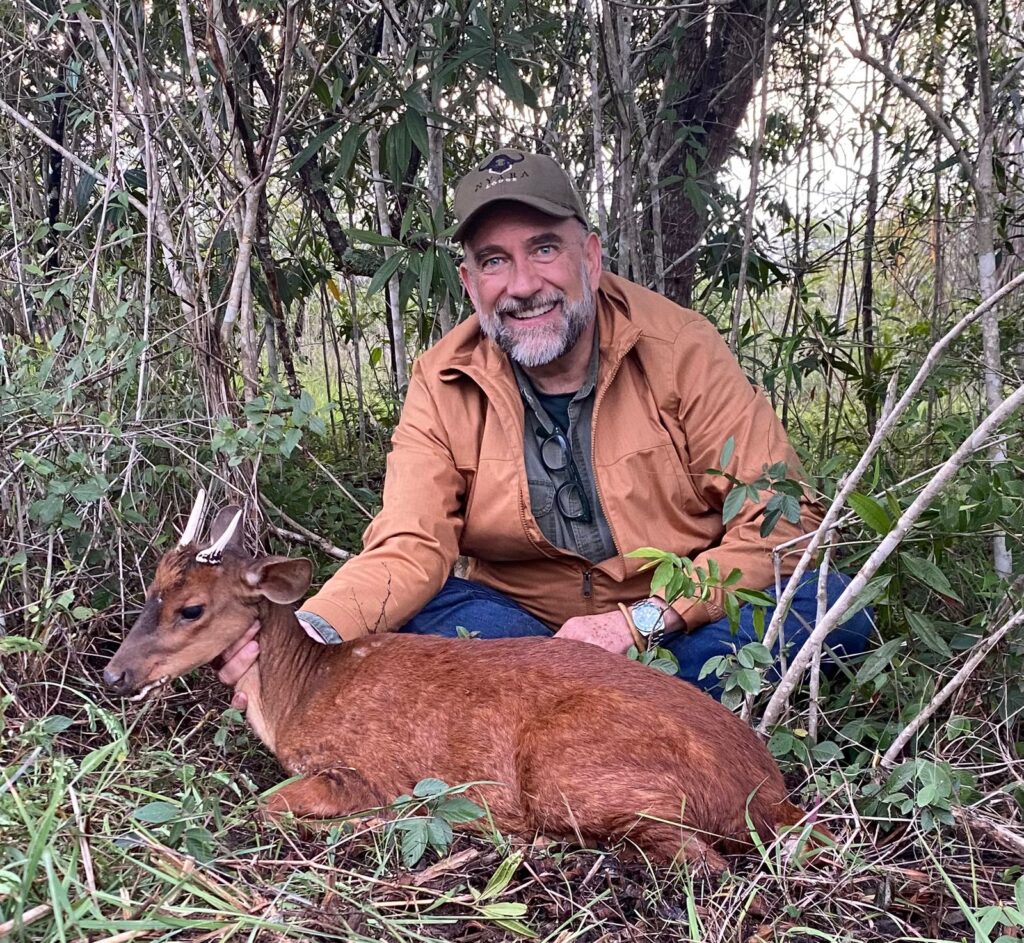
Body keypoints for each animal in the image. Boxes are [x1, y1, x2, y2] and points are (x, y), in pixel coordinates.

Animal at [104, 493, 823, 871]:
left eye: (191, 608)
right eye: (152, 587)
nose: (115, 673)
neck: (299, 695)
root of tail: (767, 795)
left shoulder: (362, 768)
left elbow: (269, 805)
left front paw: (364, 825)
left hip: (578, 772)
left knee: (699, 860)